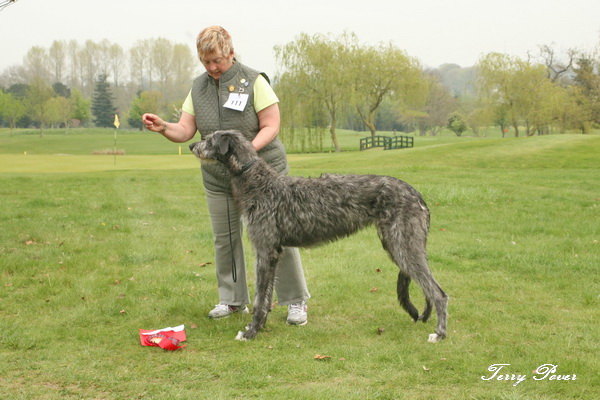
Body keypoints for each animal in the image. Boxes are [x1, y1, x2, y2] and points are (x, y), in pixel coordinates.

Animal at [190, 130, 448, 342]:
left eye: (209, 139)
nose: (192, 145)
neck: (258, 182)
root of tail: (416, 194)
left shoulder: (265, 250)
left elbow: (259, 299)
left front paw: (251, 331)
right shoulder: (274, 252)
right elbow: (266, 297)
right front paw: (260, 327)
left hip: (403, 245)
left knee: (439, 293)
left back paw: (439, 333)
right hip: (399, 245)